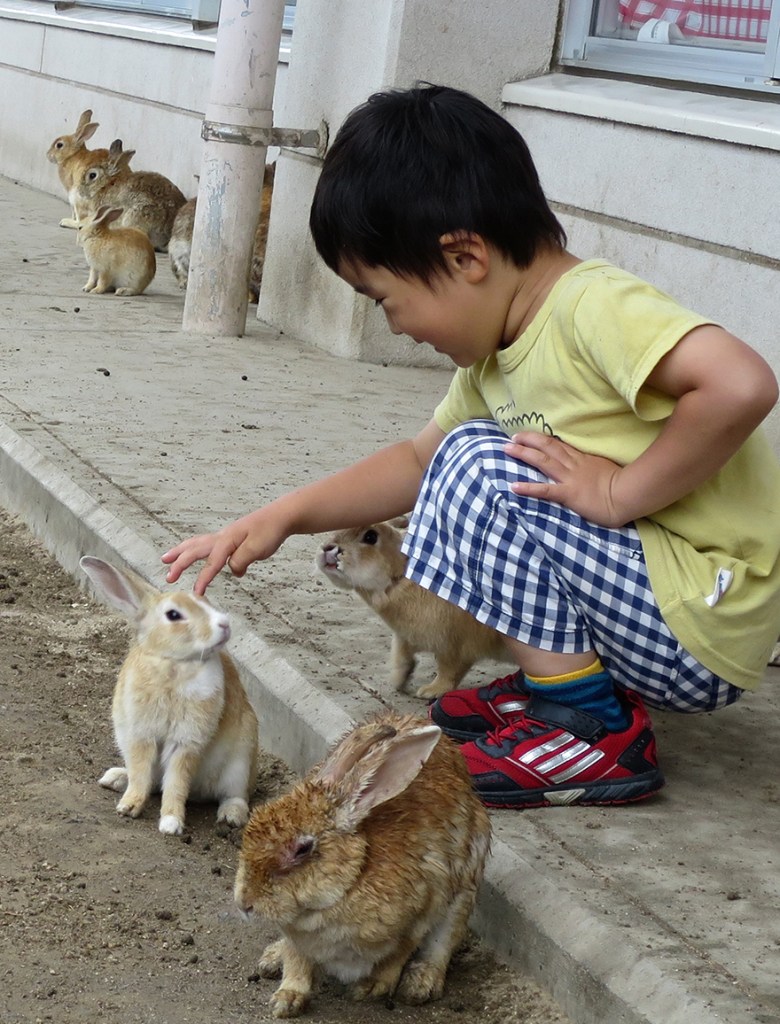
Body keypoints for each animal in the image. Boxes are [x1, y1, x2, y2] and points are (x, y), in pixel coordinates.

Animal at [80, 556, 260, 836]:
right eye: (174, 615)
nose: (224, 624)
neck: (173, 665)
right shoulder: (141, 735)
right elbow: (141, 774)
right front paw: (128, 807)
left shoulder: (186, 742)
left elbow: (176, 782)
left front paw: (171, 823)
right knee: (149, 780)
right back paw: (115, 778)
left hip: (240, 762)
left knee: (235, 795)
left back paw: (231, 816)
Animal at [234, 711, 491, 1018]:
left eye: (302, 849)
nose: (244, 903)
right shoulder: (297, 937)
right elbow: (297, 960)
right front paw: (287, 999)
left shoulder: (424, 906)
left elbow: (399, 953)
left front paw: (371, 987)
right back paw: (272, 958)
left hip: (464, 892)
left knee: (443, 942)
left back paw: (421, 983)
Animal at [316, 519, 513, 699]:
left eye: (370, 536)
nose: (327, 548)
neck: (402, 575)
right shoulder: (404, 637)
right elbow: (402, 657)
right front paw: (399, 681)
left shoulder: (454, 646)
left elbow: (449, 671)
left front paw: (430, 691)